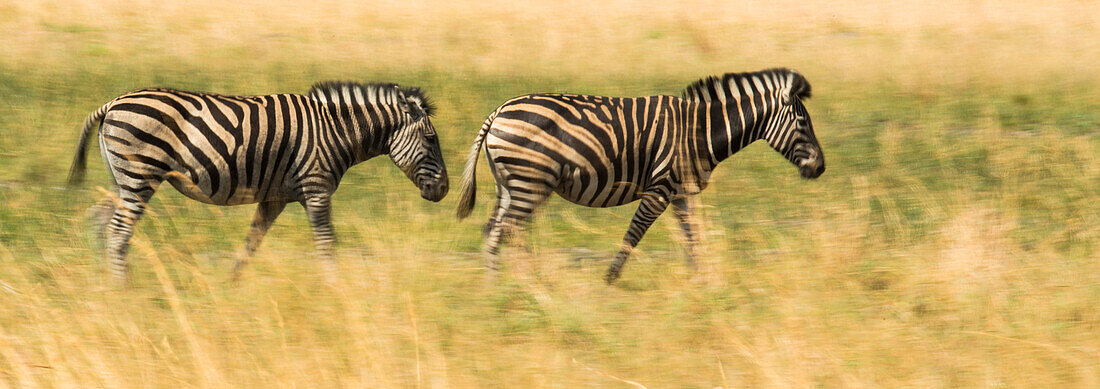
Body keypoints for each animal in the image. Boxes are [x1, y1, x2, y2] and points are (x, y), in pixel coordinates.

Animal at [67, 81, 446, 283]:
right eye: (430, 140)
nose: (443, 190)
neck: (335, 131)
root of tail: (112, 102)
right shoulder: (316, 187)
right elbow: (326, 243)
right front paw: (335, 288)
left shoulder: (274, 197)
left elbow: (251, 243)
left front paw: (230, 286)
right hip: (140, 175)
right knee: (118, 231)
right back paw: (123, 289)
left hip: (124, 180)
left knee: (101, 221)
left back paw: (105, 286)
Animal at [455, 67, 827, 283]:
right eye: (803, 123)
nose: (821, 168)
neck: (698, 131)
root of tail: (498, 110)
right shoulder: (659, 190)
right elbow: (633, 236)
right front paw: (609, 281)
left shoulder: (681, 193)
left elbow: (693, 238)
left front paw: (702, 283)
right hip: (530, 182)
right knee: (505, 231)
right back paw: (518, 289)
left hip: (511, 185)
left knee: (496, 230)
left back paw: (504, 289)